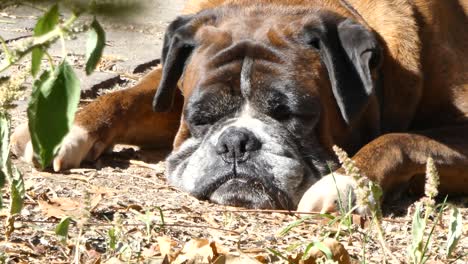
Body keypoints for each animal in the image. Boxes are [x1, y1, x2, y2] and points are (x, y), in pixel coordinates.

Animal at [11, 0, 468, 211]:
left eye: (294, 116)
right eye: (200, 119)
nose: (236, 143)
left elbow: (401, 139)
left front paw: (344, 183)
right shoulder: (170, 93)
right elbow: (128, 96)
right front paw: (65, 128)